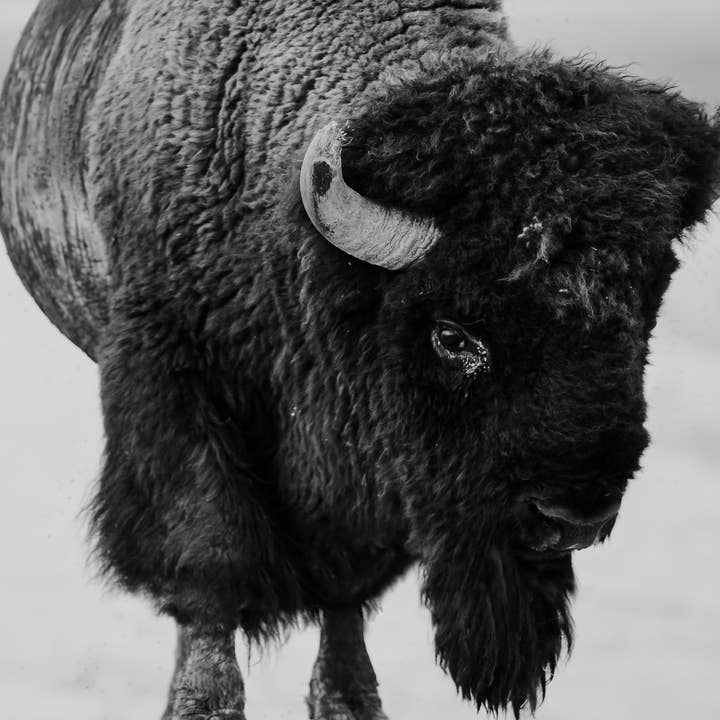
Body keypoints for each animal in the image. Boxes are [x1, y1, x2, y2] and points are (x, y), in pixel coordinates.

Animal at [1, 1, 718, 718]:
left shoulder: (370, 481)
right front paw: (201, 702)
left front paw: (347, 700)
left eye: (640, 317)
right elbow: (209, 564)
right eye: (453, 336)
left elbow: (346, 608)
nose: (573, 519)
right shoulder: (174, 387)